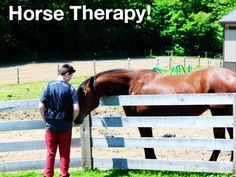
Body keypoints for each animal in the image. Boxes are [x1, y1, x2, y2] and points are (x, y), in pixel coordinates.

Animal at [75, 67, 236, 161]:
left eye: (83, 95)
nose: (76, 119)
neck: (133, 84)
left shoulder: (142, 120)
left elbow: (146, 140)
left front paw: (151, 159)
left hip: (220, 113)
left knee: (220, 139)